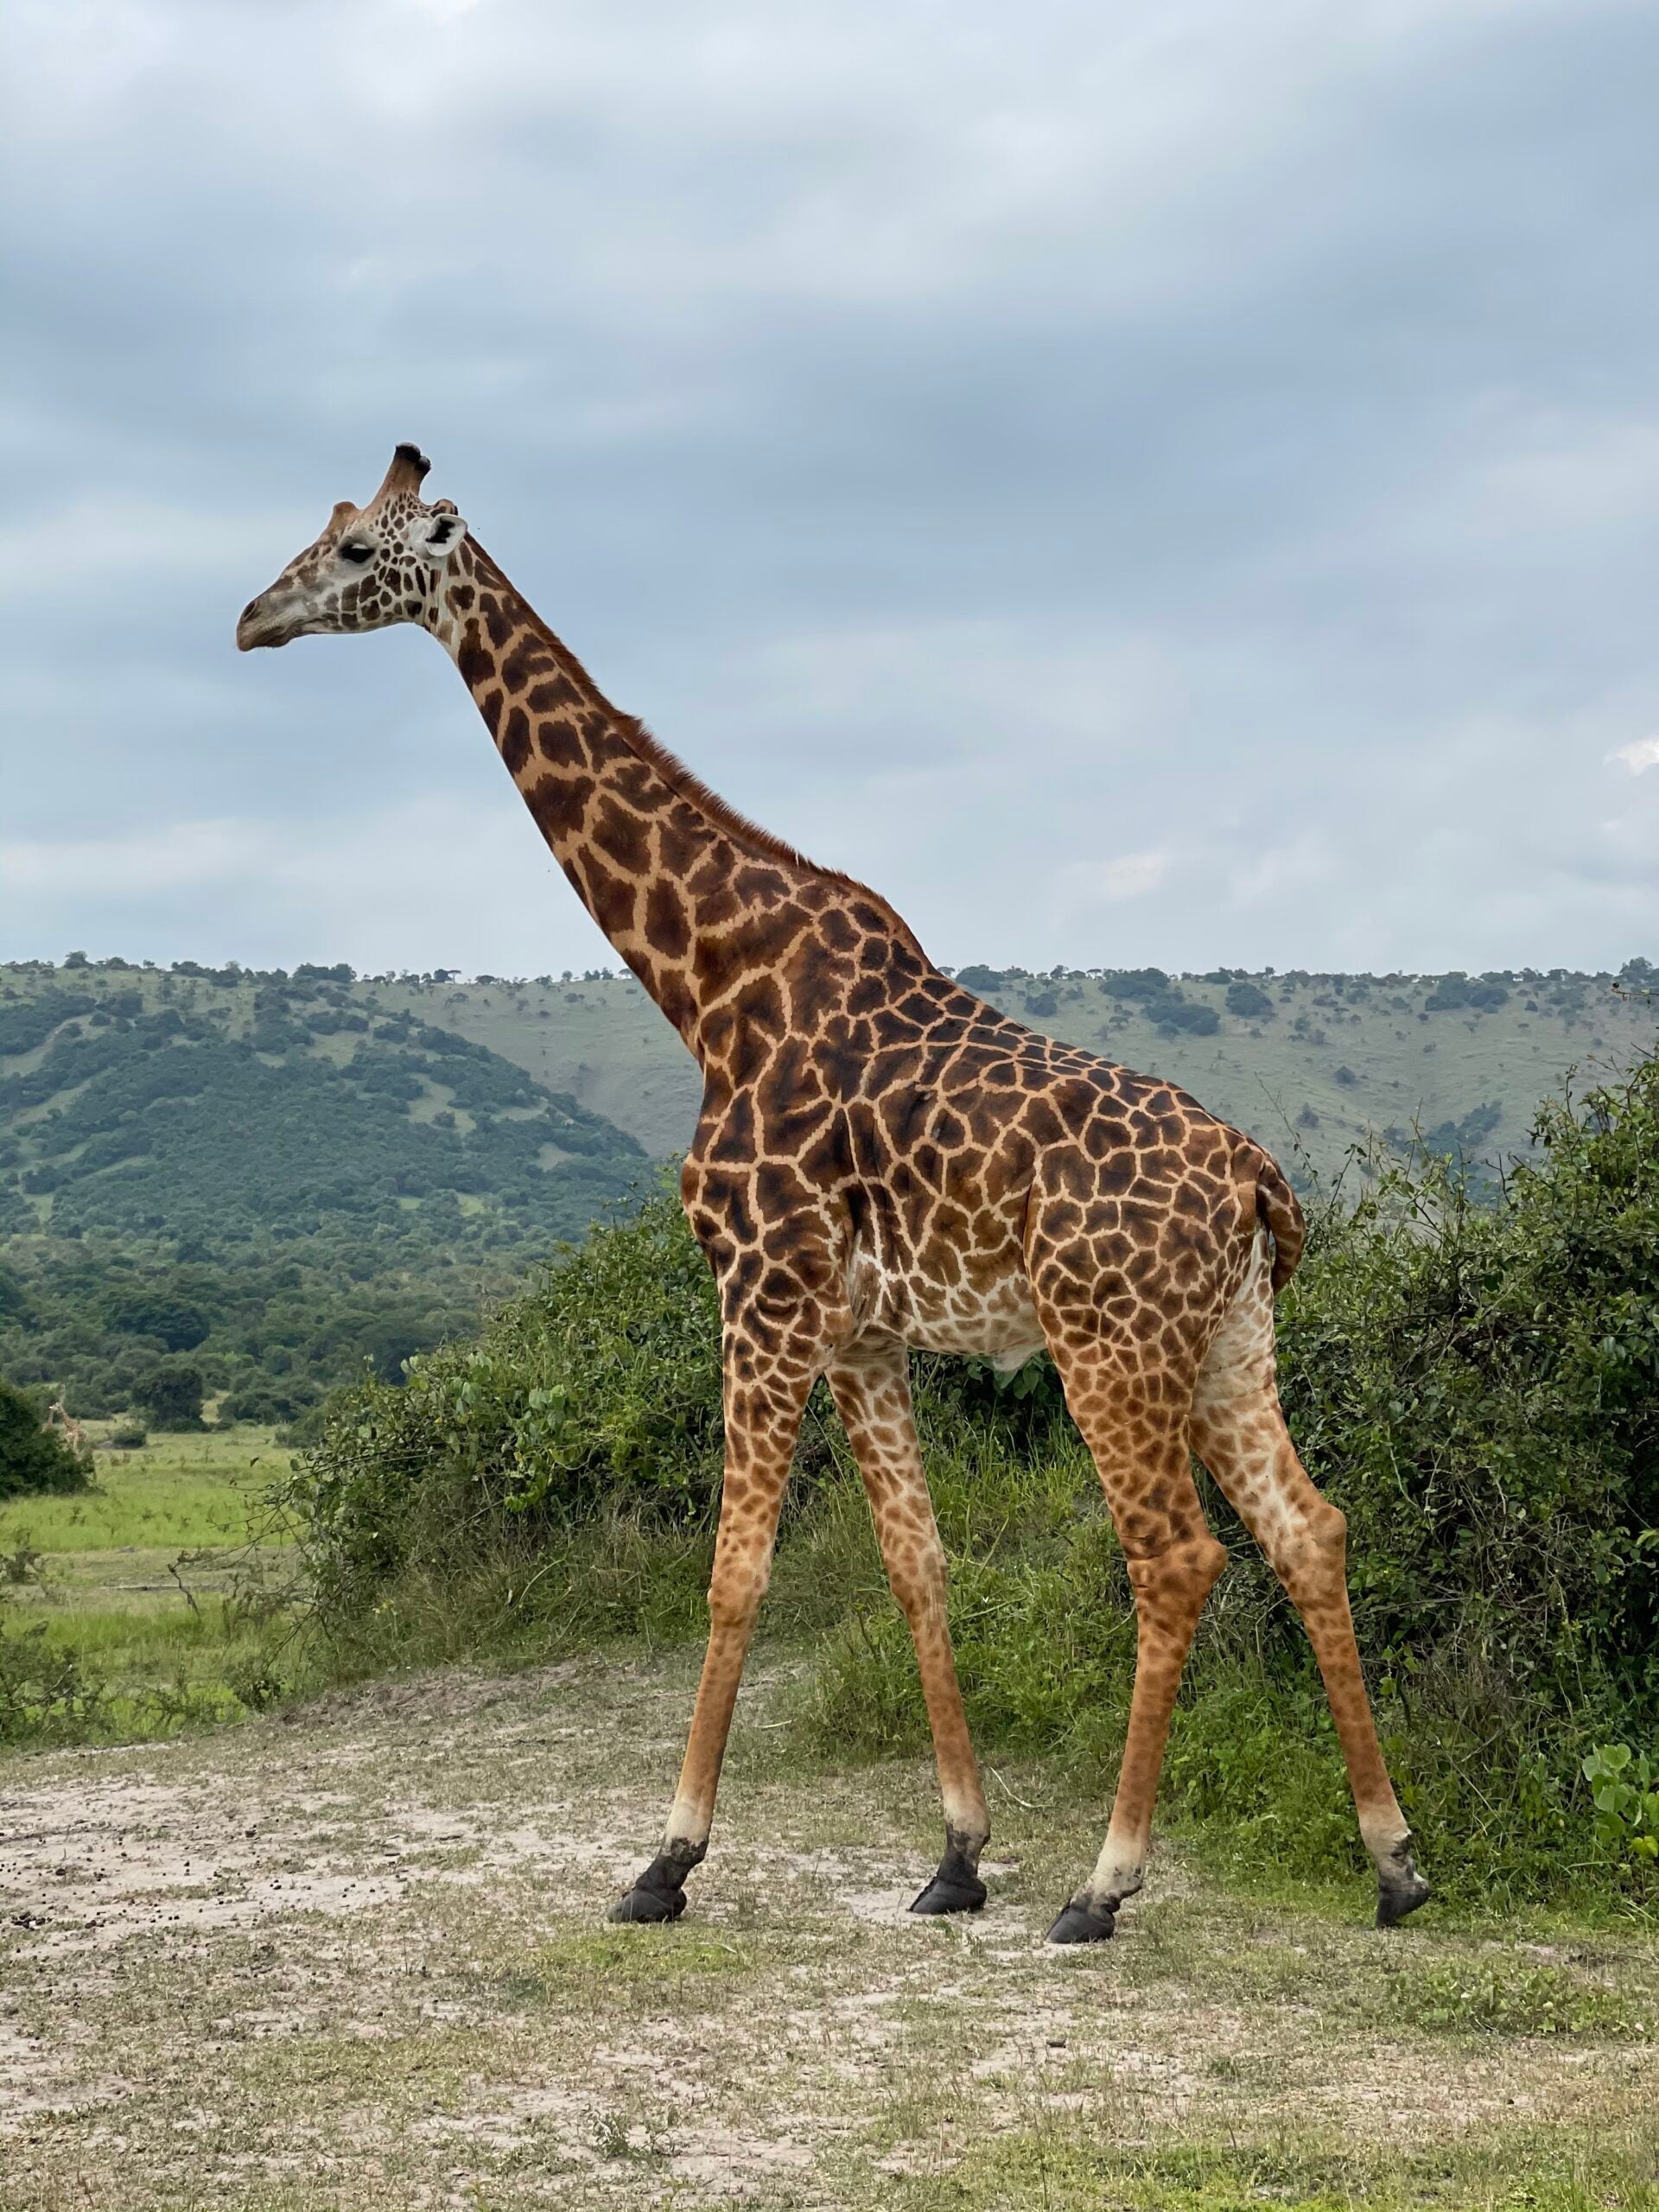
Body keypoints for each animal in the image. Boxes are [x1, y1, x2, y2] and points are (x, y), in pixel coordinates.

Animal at [237, 445, 1431, 1942]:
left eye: (356, 553)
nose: (251, 621)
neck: (708, 982)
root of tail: (1260, 1184)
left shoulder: (759, 1288)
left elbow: (733, 1568)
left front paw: (665, 1862)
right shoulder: (862, 1332)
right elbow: (917, 1563)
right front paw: (958, 1856)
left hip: (1109, 1343)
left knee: (1177, 1557)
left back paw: (1104, 1885)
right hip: (1228, 1337)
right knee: (1308, 1530)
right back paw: (1394, 1862)